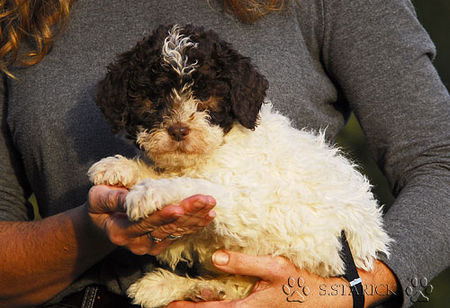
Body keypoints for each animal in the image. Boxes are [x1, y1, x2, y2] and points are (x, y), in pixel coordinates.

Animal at [88, 24, 390, 308]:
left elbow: (195, 184)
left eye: (205, 96)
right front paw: (121, 168)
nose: (178, 130)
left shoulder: (249, 204)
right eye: (152, 99)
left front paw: (149, 192)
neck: (219, 146)